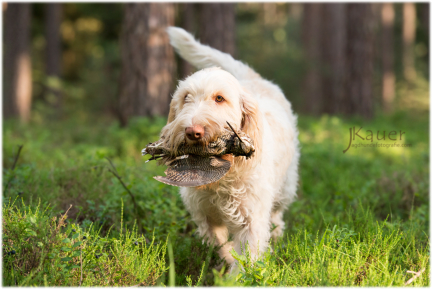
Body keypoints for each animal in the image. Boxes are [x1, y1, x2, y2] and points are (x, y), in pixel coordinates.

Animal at [162, 27, 300, 268]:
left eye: (219, 98)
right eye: (186, 97)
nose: (192, 132)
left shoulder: (251, 220)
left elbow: (246, 259)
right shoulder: (205, 215)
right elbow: (221, 245)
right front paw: (223, 264)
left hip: (285, 188)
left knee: (277, 214)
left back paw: (277, 235)